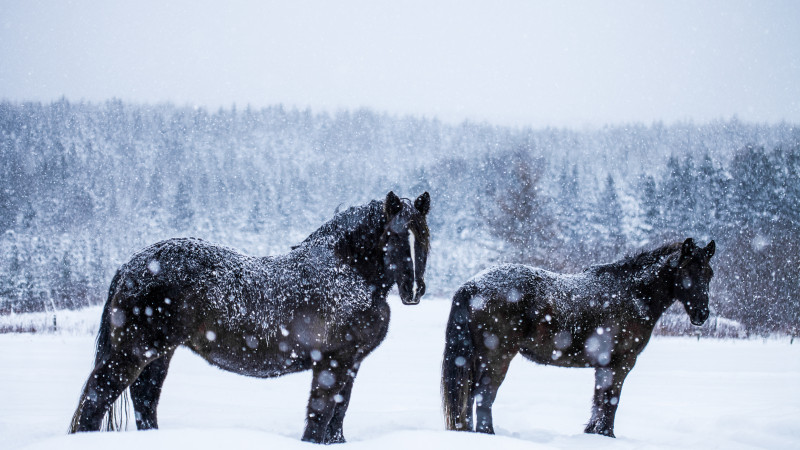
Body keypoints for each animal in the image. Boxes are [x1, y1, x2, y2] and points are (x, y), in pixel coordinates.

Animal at [69, 190, 432, 442]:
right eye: (394, 237)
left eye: (425, 237)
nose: (414, 290)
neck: (348, 270)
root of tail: (130, 266)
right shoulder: (332, 362)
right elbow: (321, 414)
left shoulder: (352, 362)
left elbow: (338, 415)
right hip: (134, 351)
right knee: (96, 398)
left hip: (160, 354)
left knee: (145, 399)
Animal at [444, 239, 712, 440]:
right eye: (686, 271)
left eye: (708, 274)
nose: (702, 314)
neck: (632, 294)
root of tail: (472, 285)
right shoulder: (621, 363)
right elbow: (610, 401)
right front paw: (606, 435)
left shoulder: (604, 366)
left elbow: (600, 400)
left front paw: (594, 434)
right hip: (497, 357)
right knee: (483, 395)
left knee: (470, 394)